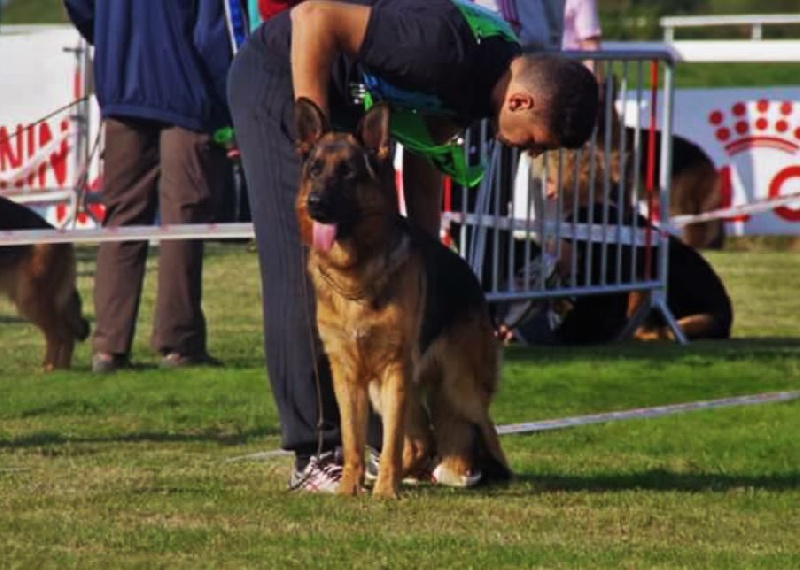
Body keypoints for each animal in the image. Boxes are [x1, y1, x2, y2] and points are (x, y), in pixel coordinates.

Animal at [296, 97, 512, 496]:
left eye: (347, 173)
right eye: (315, 170)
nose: (316, 203)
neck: (356, 271)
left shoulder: (394, 369)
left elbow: (392, 441)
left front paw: (385, 492)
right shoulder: (347, 376)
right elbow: (352, 440)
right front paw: (350, 489)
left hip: (458, 389)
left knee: (480, 430)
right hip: (389, 390)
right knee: (425, 440)